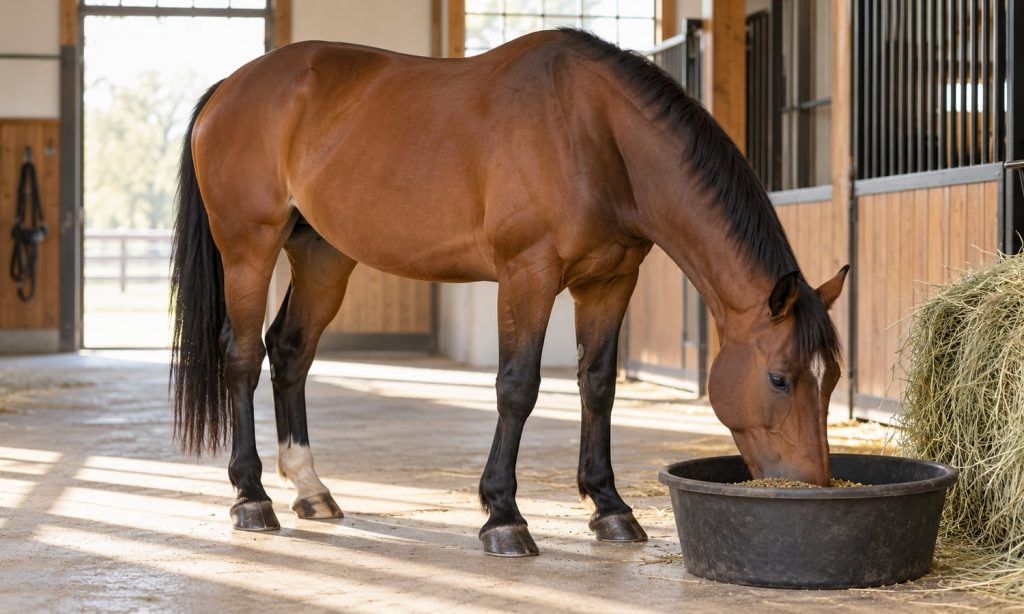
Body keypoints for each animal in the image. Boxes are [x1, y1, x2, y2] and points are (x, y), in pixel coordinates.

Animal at [170, 28, 848, 557]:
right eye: (780, 378)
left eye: (833, 380)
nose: (812, 484)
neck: (595, 132)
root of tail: (231, 87)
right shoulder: (529, 274)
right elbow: (517, 387)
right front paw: (503, 516)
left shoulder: (610, 281)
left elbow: (597, 385)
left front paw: (610, 507)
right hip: (249, 249)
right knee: (243, 356)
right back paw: (252, 497)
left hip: (323, 256)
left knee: (290, 352)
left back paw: (311, 490)